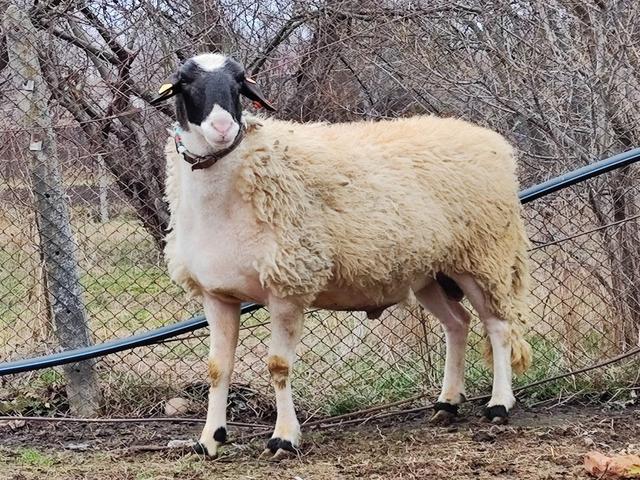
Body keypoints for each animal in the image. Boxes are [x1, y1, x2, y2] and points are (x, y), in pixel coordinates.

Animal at [156, 52, 533, 460]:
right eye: (185, 84)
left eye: (239, 85)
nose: (223, 127)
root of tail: (492, 141)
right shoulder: (217, 294)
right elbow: (217, 368)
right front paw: (209, 439)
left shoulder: (288, 285)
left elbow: (278, 365)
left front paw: (284, 438)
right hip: (429, 272)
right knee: (458, 324)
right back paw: (447, 403)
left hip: (482, 256)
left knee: (498, 325)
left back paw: (499, 404)